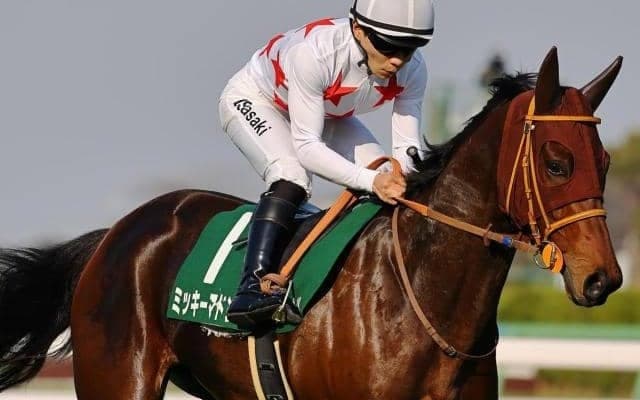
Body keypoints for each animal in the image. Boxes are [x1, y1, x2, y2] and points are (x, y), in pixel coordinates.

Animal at [0, 47, 623, 399]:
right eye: (557, 162)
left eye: (605, 162)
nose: (604, 279)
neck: (421, 295)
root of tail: (115, 235)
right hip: (118, 380)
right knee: (287, 172)